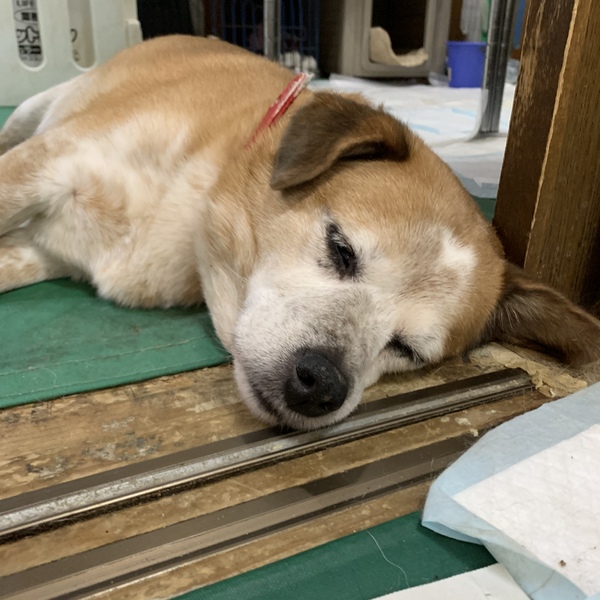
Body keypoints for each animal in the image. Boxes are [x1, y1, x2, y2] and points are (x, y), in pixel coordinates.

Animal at [1, 36, 599, 430]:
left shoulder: (45, 252)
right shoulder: (44, 166)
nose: (322, 386)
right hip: (33, 113)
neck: (192, 210)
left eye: (407, 349)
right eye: (341, 249)